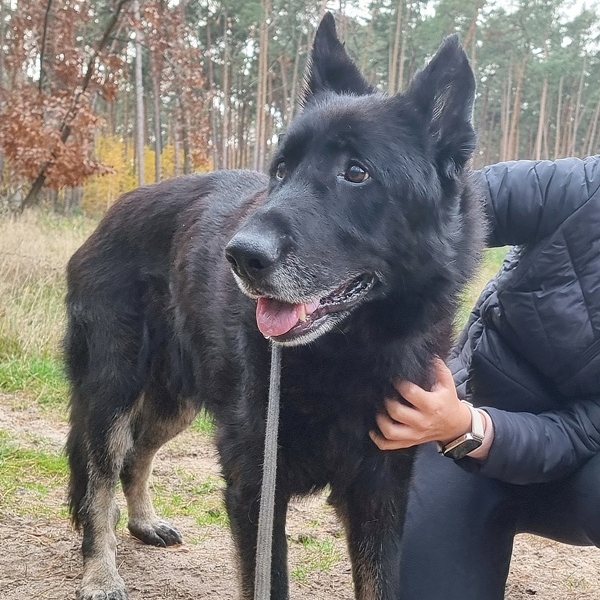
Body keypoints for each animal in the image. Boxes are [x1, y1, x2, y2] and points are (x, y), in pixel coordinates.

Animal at [65, 13, 484, 600]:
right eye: (281, 170)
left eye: (357, 173)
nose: (240, 256)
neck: (348, 352)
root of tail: (109, 215)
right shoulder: (255, 487)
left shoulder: (379, 493)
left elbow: (379, 580)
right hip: (114, 388)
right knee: (100, 474)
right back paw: (100, 572)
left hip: (179, 400)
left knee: (136, 454)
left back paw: (144, 522)